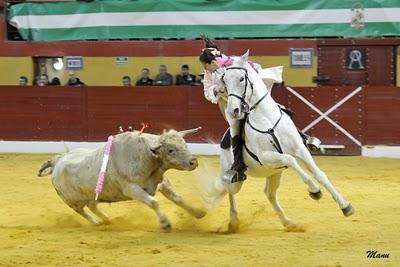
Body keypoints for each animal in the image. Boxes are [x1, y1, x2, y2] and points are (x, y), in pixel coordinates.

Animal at [37, 127, 205, 230]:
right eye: (170, 150)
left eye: (185, 143)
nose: (193, 162)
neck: (147, 157)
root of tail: (58, 160)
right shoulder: (132, 189)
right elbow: (154, 202)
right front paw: (165, 224)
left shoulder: (160, 182)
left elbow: (177, 198)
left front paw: (198, 212)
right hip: (71, 201)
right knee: (82, 211)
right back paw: (97, 222)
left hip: (93, 194)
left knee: (92, 206)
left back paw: (108, 220)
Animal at [209, 50, 354, 232]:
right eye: (225, 81)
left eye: (241, 79)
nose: (233, 111)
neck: (267, 119)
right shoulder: (266, 156)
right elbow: (291, 160)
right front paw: (314, 191)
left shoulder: (300, 149)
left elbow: (319, 174)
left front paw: (345, 206)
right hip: (236, 177)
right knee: (228, 190)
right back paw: (234, 221)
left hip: (273, 173)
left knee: (269, 194)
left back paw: (289, 223)